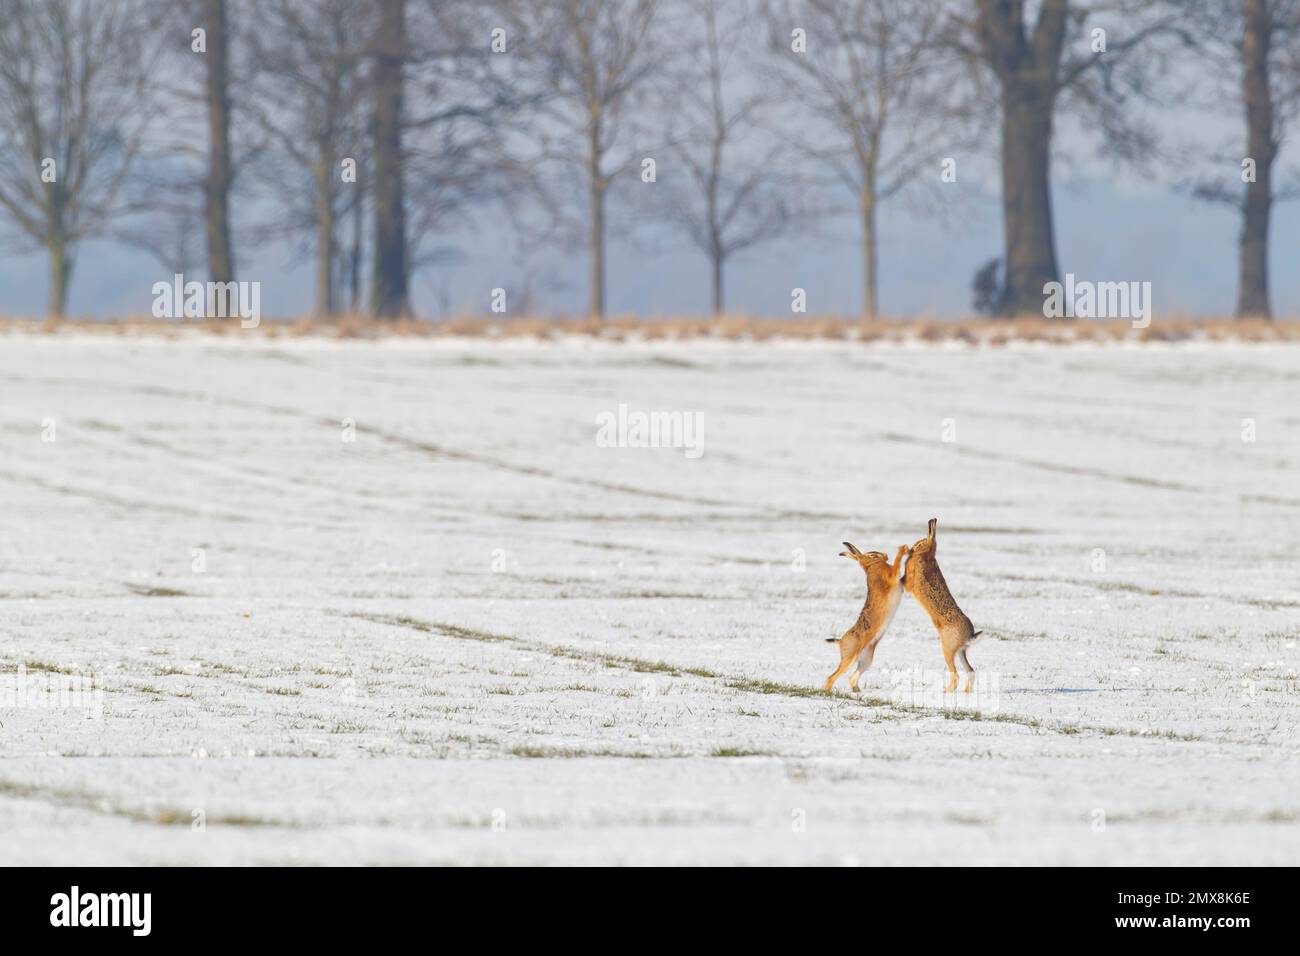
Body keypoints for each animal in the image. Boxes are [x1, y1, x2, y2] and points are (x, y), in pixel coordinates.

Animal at [823, 542, 910, 693]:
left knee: (852, 677)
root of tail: (840, 641)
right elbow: (896, 566)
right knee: (831, 678)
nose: (886, 555)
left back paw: (857, 692)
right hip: (851, 656)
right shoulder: (890, 576)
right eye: (872, 555)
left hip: (867, 659)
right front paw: (903, 549)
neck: (871, 566)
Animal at [905, 518, 982, 692]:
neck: (927, 555)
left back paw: (947, 691)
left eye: (919, 543)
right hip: (960, 652)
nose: (911, 548)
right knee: (970, 671)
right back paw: (966, 693)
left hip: (947, 649)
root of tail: (969, 635)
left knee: (956, 674)